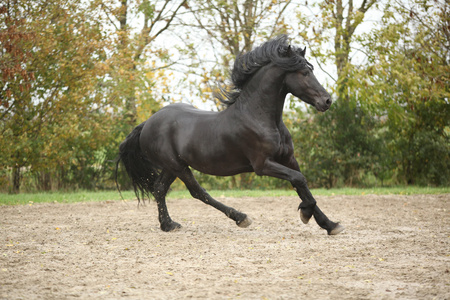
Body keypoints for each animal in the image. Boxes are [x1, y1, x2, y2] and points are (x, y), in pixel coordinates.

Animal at [117, 35, 344, 236]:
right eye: (304, 72)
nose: (327, 101)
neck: (259, 117)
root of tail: (147, 123)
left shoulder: (288, 159)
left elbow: (301, 185)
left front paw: (330, 225)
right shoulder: (262, 165)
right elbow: (300, 180)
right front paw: (305, 213)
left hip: (170, 167)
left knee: (159, 189)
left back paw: (168, 225)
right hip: (177, 166)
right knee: (198, 192)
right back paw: (241, 217)